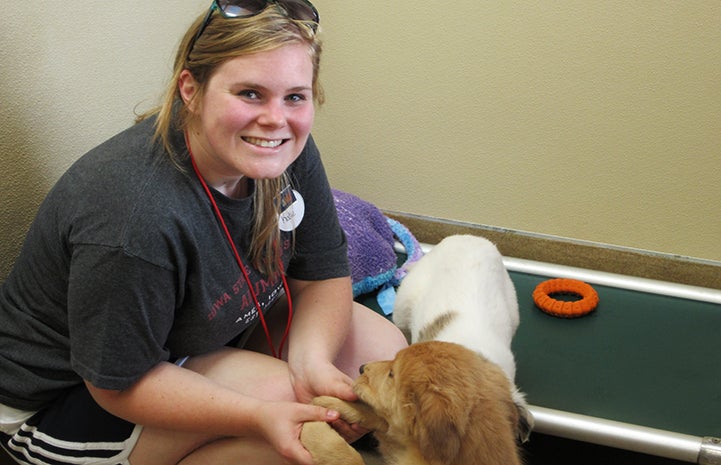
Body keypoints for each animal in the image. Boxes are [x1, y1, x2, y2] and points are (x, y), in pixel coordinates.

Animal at [300, 338, 520, 464]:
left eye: (391, 374)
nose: (361, 367)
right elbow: (378, 416)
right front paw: (333, 403)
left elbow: (352, 458)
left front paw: (316, 432)